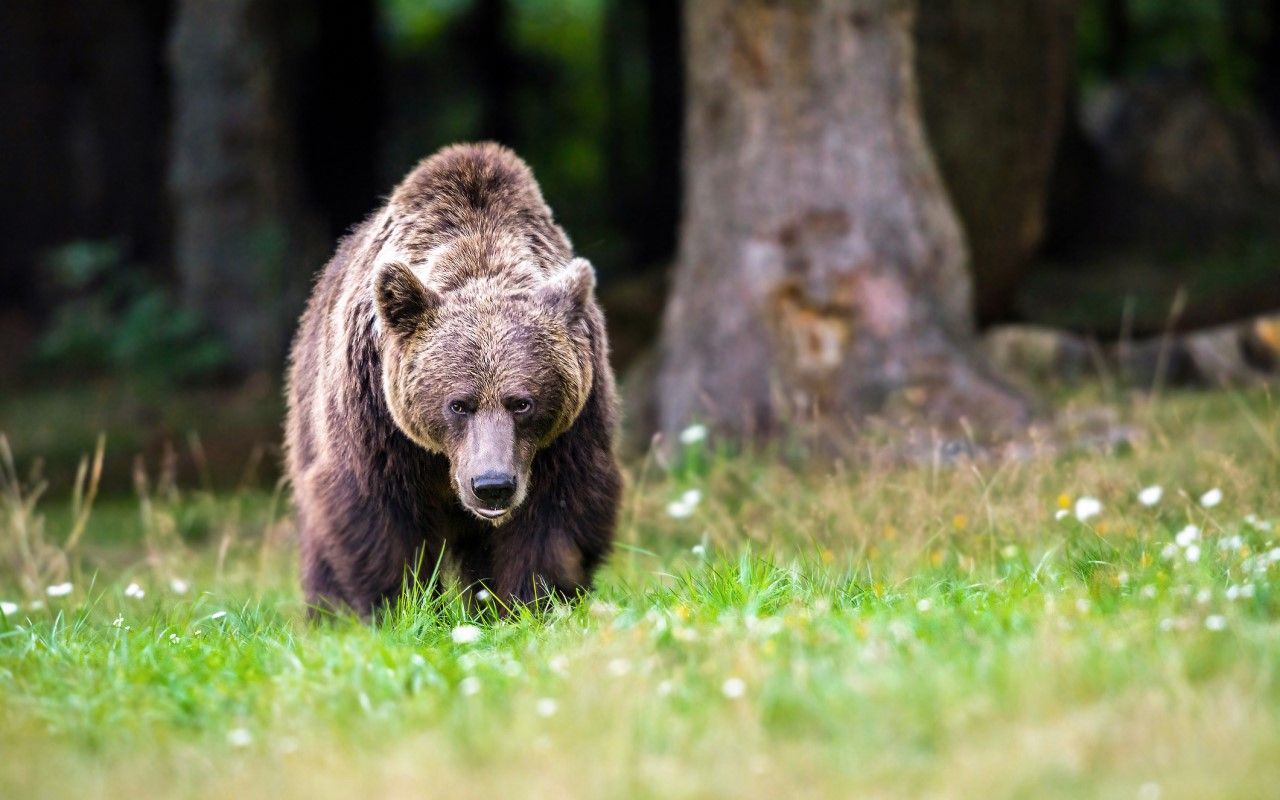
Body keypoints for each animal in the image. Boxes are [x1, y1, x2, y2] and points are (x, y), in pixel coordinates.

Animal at [284, 142, 619, 616]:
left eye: (523, 402)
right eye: (458, 403)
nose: (492, 486)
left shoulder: (570, 428)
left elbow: (556, 517)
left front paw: (533, 602)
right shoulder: (375, 416)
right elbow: (377, 514)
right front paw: (402, 607)